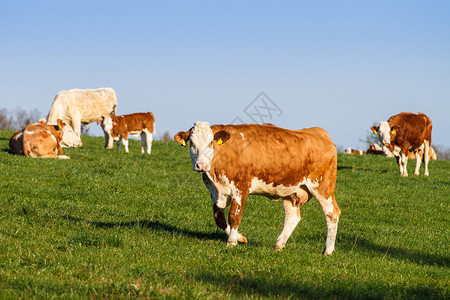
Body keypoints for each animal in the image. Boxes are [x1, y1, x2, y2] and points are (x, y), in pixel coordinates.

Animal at [174, 120, 340, 254]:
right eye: (191, 143)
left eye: (211, 143)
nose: (201, 165)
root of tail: (319, 132)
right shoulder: (214, 192)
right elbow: (219, 220)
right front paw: (241, 238)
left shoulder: (241, 188)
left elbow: (234, 216)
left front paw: (231, 242)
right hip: (290, 190)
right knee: (292, 217)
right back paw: (278, 245)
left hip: (323, 186)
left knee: (332, 213)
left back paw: (328, 250)